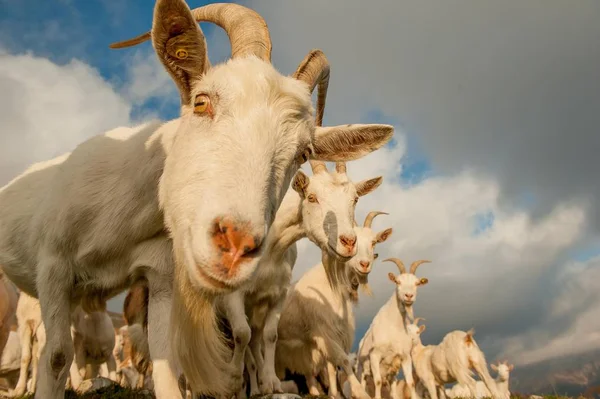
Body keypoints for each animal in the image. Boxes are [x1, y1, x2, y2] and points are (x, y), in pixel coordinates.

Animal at [274, 211, 392, 398]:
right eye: (354, 240)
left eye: (373, 242)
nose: (364, 264)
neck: (332, 286)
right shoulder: (324, 332)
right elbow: (342, 360)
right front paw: (359, 392)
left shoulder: (335, 334)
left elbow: (331, 368)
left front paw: (335, 394)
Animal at [354, 260, 434, 399]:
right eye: (398, 281)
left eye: (417, 283)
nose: (409, 296)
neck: (393, 327)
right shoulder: (375, 355)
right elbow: (378, 381)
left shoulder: (405, 357)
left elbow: (410, 382)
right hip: (362, 369)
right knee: (363, 383)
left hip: (391, 374)